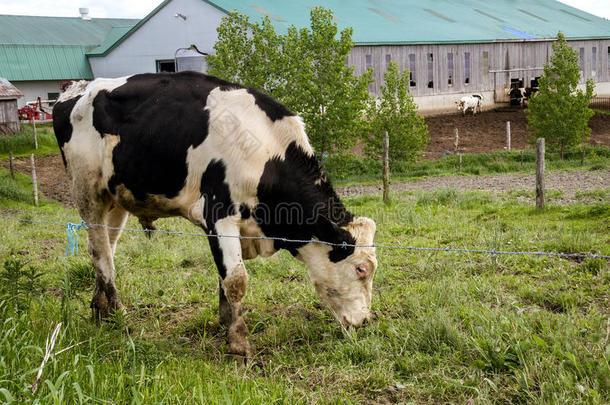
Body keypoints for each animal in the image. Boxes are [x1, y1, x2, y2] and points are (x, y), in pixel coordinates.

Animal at [52, 72, 376, 356]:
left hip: (117, 200)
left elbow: (225, 278)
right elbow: (235, 280)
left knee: (106, 248)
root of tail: (77, 89)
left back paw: (100, 310)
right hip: (87, 192)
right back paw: (119, 315)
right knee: (100, 253)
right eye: (361, 269)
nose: (364, 321)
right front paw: (238, 342)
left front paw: (225, 322)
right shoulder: (219, 215)